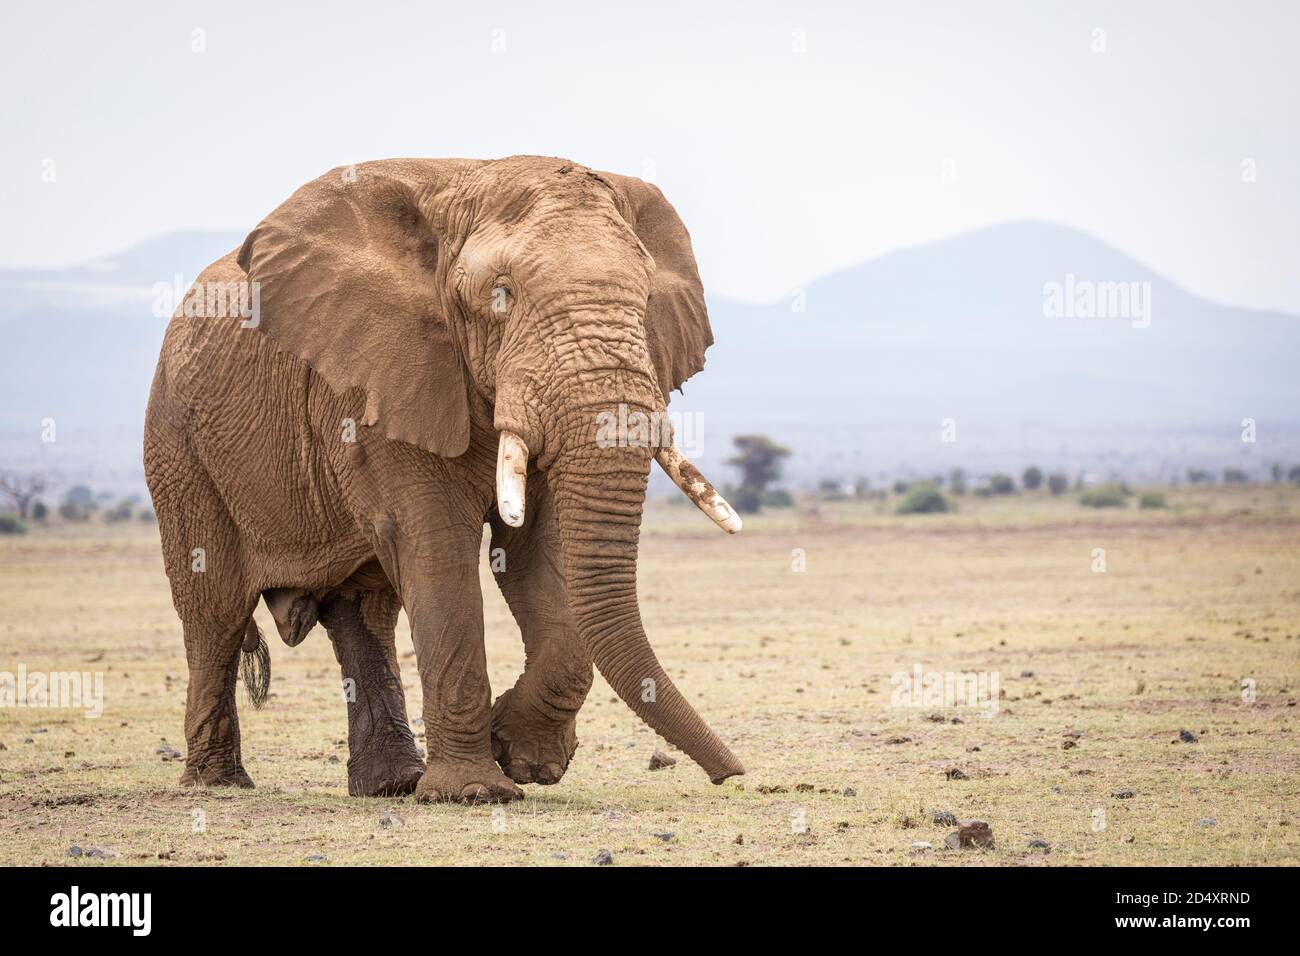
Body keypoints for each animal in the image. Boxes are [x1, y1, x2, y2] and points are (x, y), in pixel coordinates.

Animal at [143, 156, 746, 803]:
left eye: (644, 299)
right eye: (502, 295)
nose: (732, 774)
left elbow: (538, 553)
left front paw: (522, 757)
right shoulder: (378, 382)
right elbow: (437, 548)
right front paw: (477, 791)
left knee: (363, 613)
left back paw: (391, 785)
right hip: (178, 445)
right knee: (215, 610)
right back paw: (219, 784)